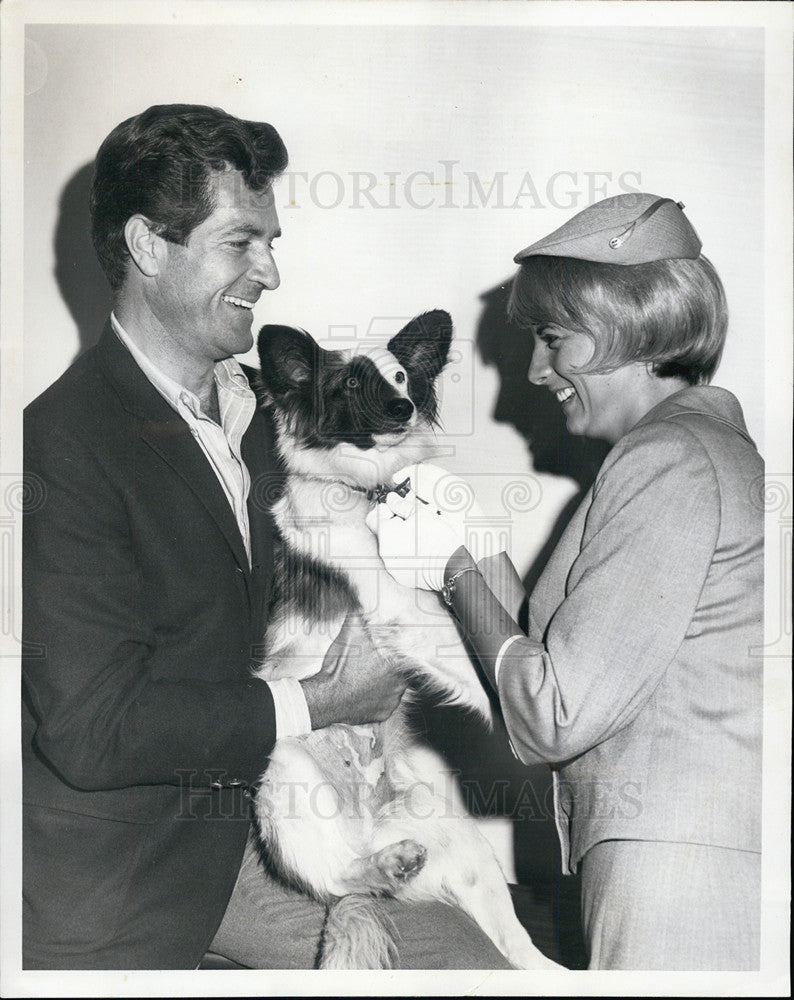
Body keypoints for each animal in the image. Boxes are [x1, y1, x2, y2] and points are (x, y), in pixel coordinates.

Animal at [251, 306, 552, 968]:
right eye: (350, 383)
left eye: (402, 377)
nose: (403, 407)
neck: (374, 492)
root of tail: (366, 824)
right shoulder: (397, 605)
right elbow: (465, 657)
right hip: (285, 782)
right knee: (340, 877)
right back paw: (381, 864)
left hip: (460, 840)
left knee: (516, 946)